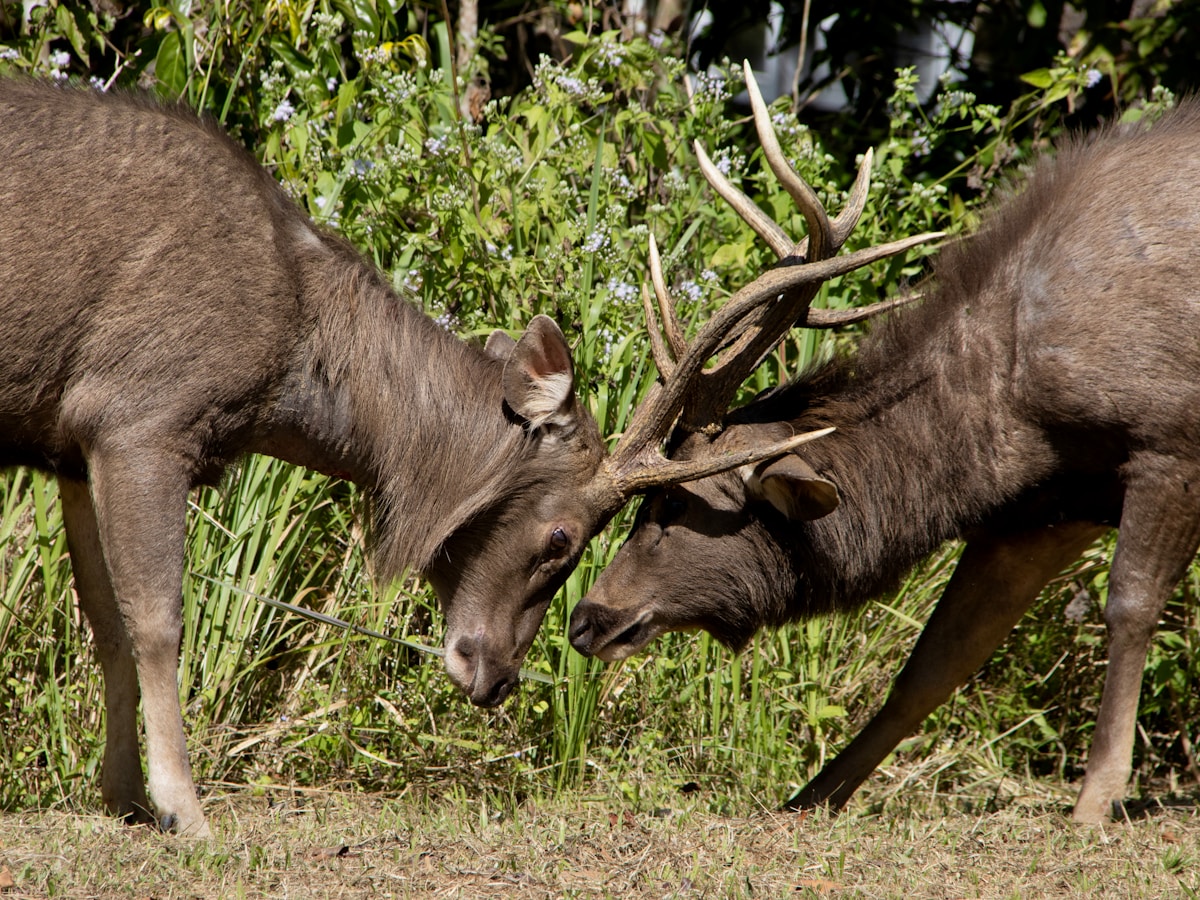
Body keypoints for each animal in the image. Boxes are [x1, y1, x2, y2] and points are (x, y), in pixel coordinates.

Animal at [0, 76, 934, 837]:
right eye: (562, 538)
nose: (496, 676)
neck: (289, 361)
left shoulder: (70, 444)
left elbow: (106, 625)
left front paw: (123, 796)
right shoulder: (140, 412)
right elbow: (158, 620)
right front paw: (185, 810)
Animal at [569, 73, 1200, 824]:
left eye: (672, 503)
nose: (586, 618)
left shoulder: (1170, 442)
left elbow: (1129, 606)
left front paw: (1095, 799)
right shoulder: (1046, 507)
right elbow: (937, 662)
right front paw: (813, 795)